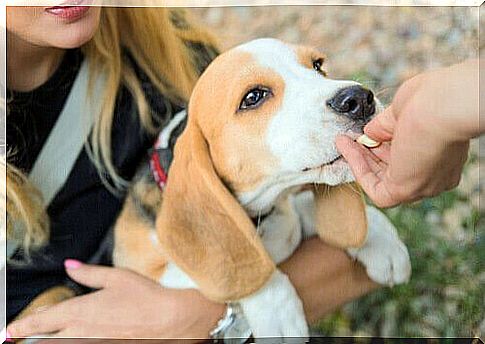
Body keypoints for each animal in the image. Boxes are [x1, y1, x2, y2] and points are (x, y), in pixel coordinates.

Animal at [114, 39, 412, 340]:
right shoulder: (143, 271)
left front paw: (378, 236)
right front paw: (276, 311)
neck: (263, 213)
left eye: (317, 65)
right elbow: (249, 267)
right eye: (253, 97)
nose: (359, 99)